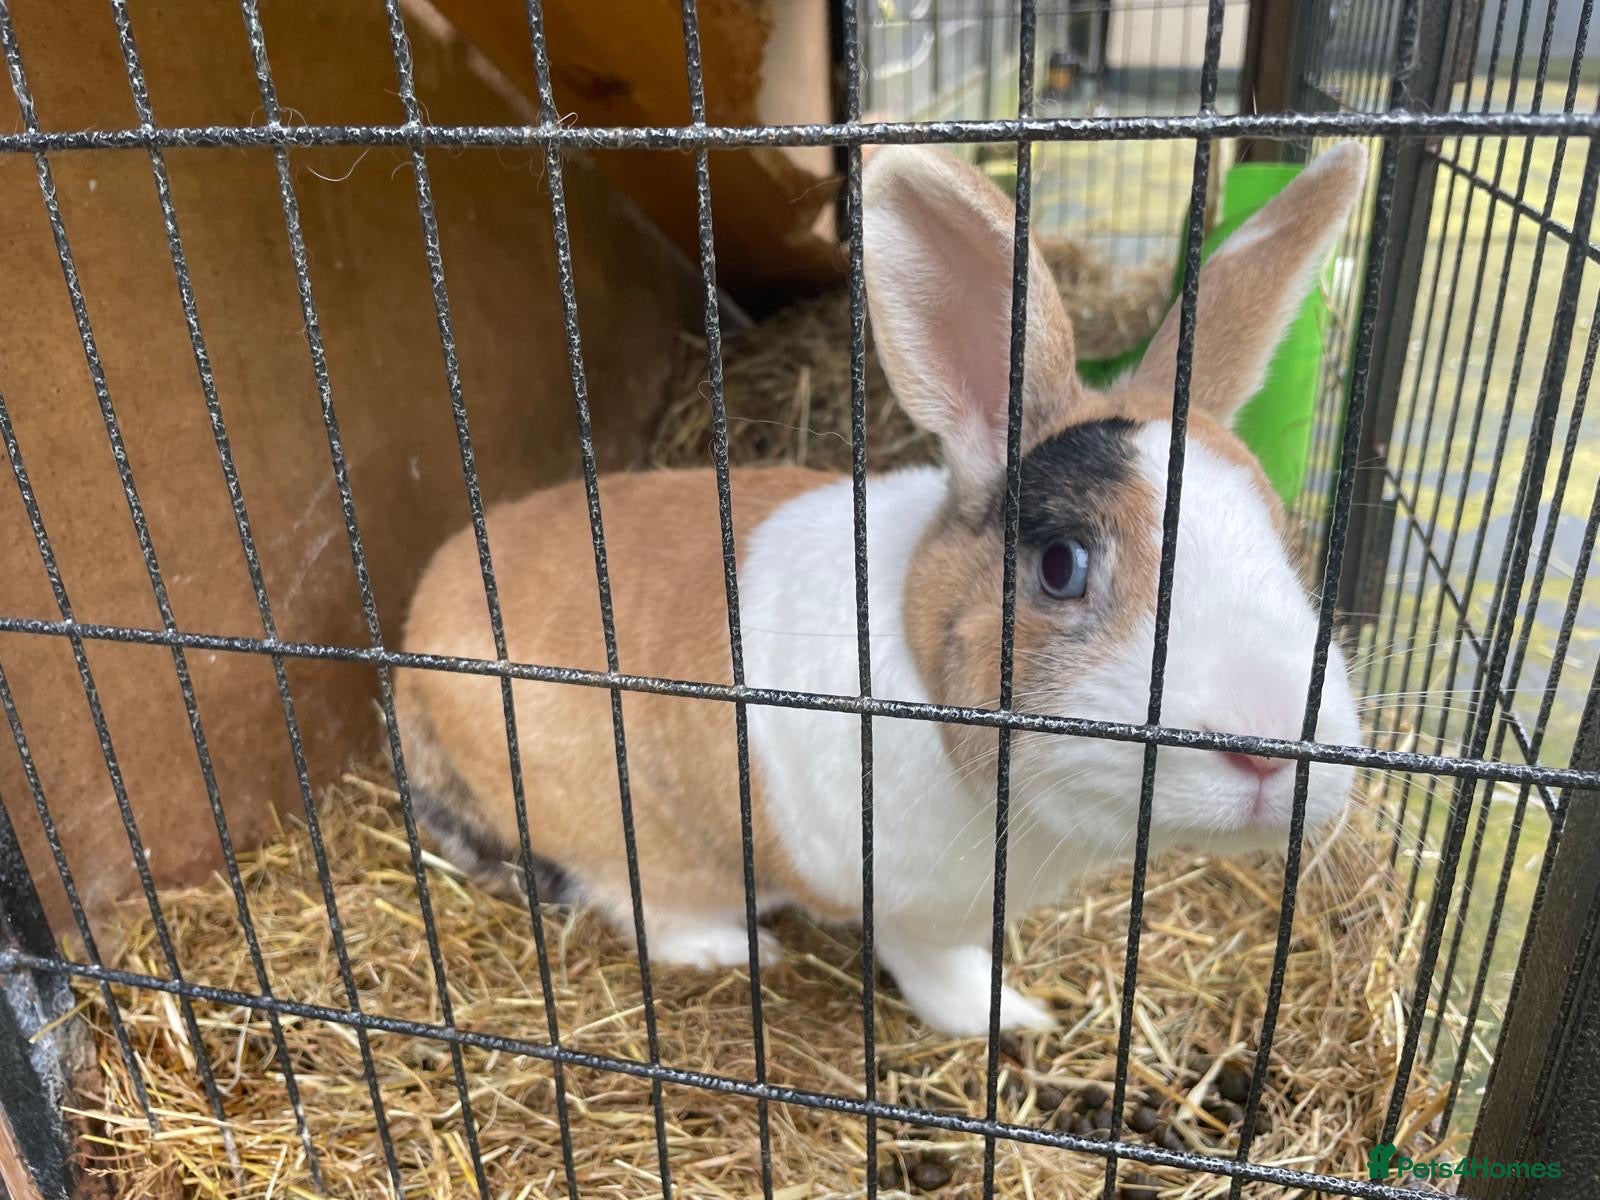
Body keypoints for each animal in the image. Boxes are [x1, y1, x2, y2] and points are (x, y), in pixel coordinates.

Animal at [395, 141, 1368, 1036]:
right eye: (1061, 565)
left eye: (1285, 540)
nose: (1272, 747)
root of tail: (409, 640)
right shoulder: (907, 907)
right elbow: (938, 970)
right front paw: (1015, 1018)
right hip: (631, 834)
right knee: (641, 901)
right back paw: (734, 948)